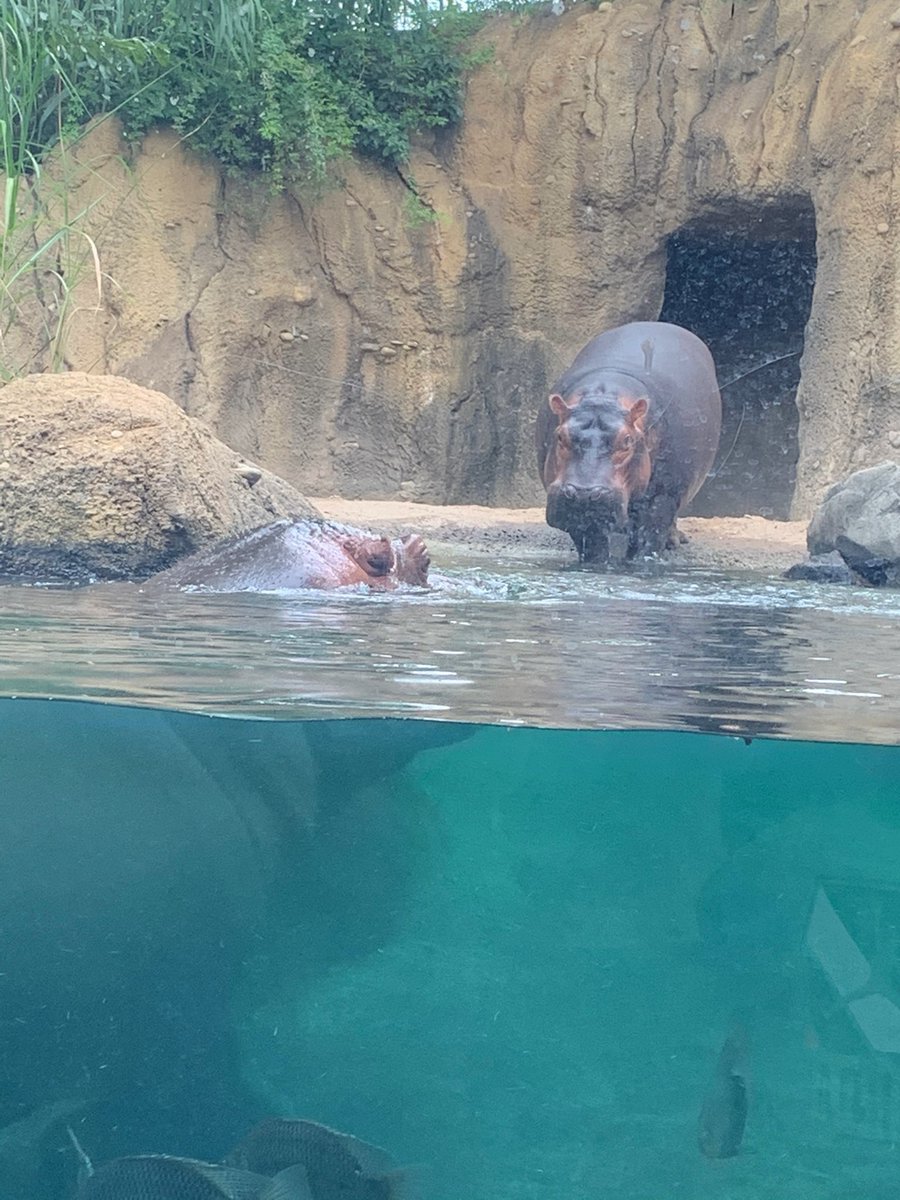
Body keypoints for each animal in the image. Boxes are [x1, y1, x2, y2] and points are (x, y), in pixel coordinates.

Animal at [536, 321, 722, 563]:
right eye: (560, 436)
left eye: (627, 440)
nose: (583, 493)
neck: (603, 397)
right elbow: (592, 546)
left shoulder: (664, 495)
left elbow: (650, 539)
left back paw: (674, 540)